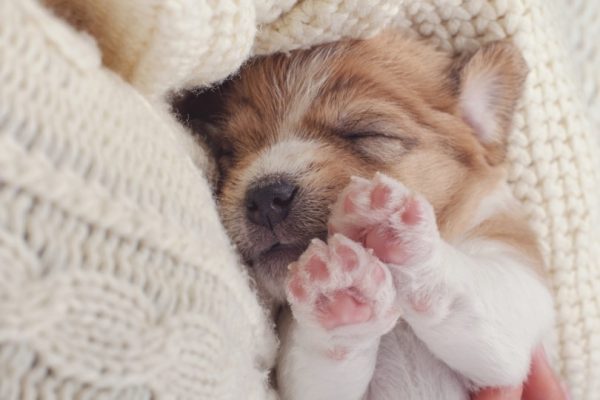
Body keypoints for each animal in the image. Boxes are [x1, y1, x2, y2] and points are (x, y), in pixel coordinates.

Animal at [180, 32, 556, 400]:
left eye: (366, 133)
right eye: (229, 152)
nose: (265, 195)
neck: (399, 324)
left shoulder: (515, 295)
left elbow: (470, 287)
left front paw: (388, 225)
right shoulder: (312, 384)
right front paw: (338, 290)